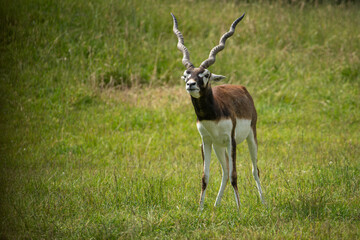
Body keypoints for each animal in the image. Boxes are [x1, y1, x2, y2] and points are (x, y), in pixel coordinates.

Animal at [170, 12, 266, 208]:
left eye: (205, 74)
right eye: (186, 75)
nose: (191, 85)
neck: (212, 115)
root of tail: (242, 88)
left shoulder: (231, 140)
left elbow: (235, 176)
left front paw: (239, 210)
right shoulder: (206, 141)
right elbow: (205, 177)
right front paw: (200, 209)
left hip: (251, 137)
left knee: (254, 170)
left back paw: (264, 203)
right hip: (218, 146)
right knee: (224, 171)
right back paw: (216, 205)